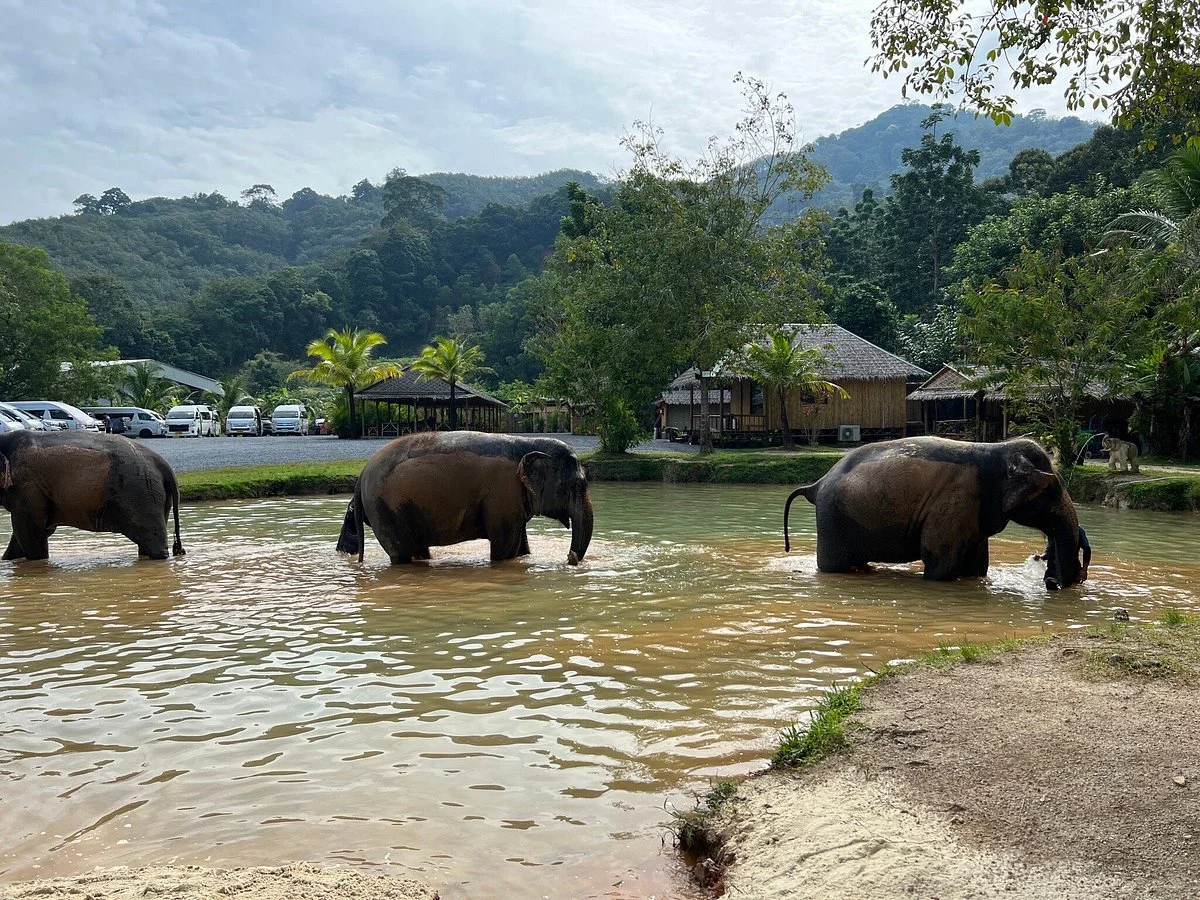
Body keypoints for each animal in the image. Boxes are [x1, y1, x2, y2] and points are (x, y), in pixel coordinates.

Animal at [0, 430, 185, 561]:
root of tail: (164, 465)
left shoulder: (27, 486)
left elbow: (31, 532)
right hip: (155, 495)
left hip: (141, 493)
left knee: (152, 541)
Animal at [337, 432, 594, 566]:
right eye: (575, 486)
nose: (570, 557)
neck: (527, 443)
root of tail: (361, 475)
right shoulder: (502, 495)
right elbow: (505, 550)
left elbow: (521, 547)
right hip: (383, 509)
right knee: (401, 553)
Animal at [783, 436, 1084, 588]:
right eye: (1051, 489)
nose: (1052, 580)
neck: (996, 449)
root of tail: (816, 484)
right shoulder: (955, 502)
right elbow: (941, 563)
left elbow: (977, 566)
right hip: (832, 520)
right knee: (833, 566)